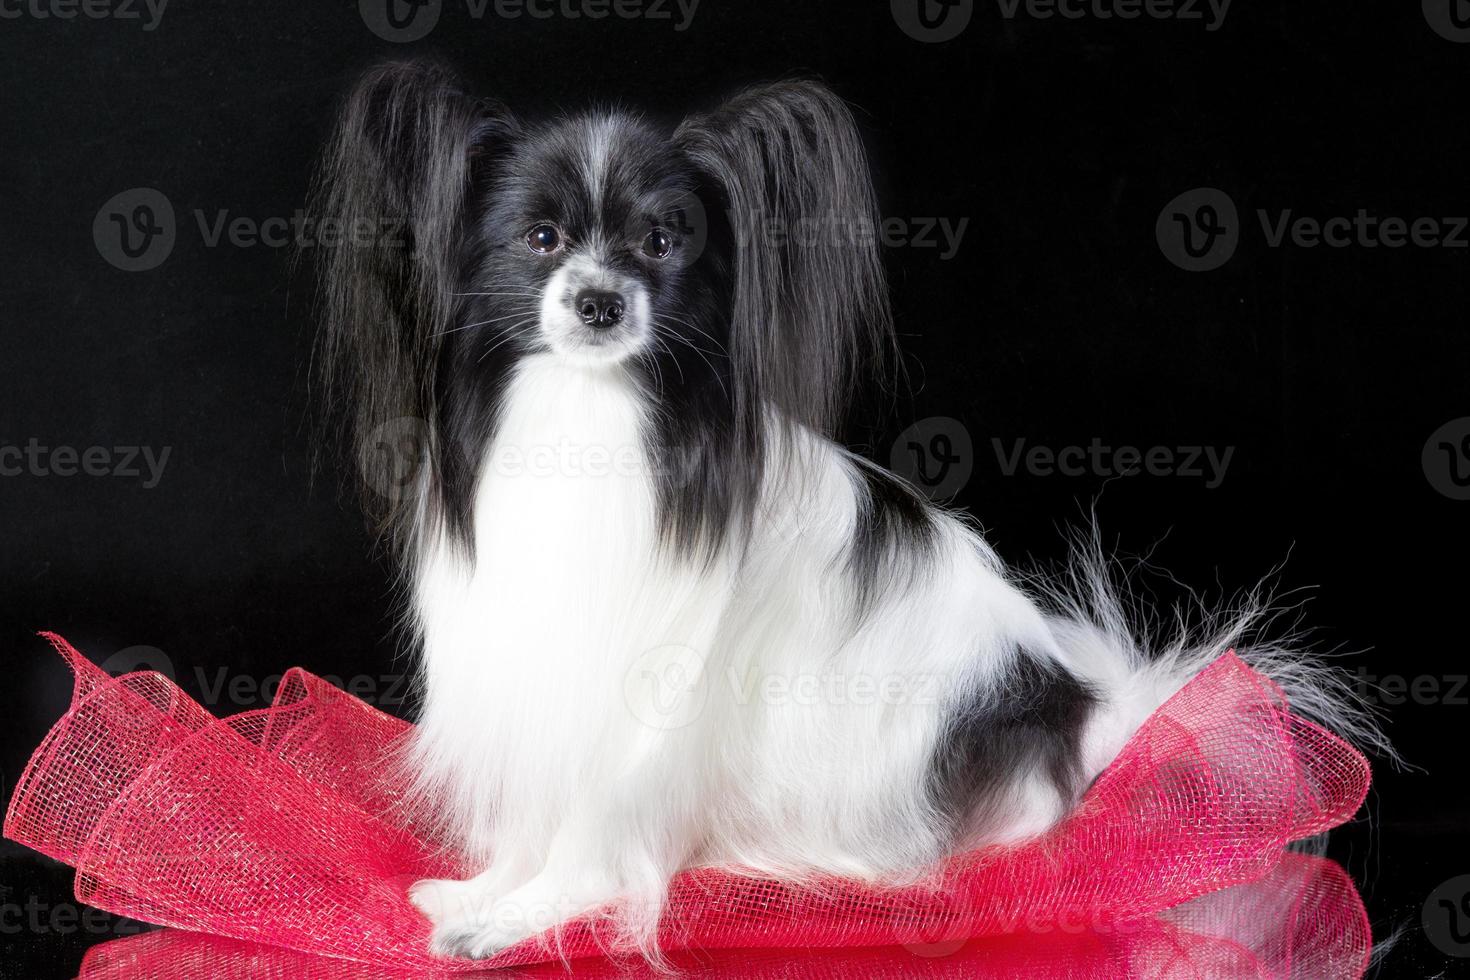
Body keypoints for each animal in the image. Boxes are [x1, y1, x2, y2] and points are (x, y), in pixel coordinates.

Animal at [307, 59, 1375, 957]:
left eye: (661, 242)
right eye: (540, 240)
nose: (600, 301)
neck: (593, 413)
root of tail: (1087, 718)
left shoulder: (640, 709)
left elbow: (589, 837)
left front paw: (521, 918)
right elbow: (537, 816)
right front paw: (487, 891)